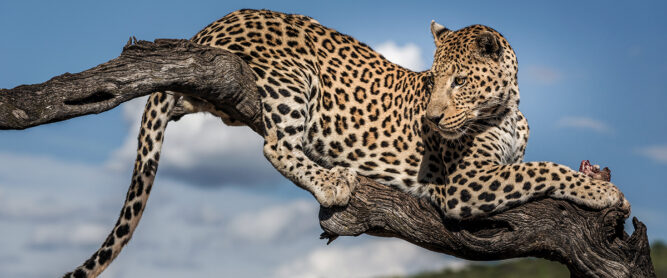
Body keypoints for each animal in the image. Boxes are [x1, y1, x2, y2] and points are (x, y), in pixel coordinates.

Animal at [61, 9, 628, 278]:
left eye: (460, 81)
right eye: (435, 80)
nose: (433, 116)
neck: (506, 110)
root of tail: (206, 30)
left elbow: (535, 165)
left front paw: (597, 179)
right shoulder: (464, 185)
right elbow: (546, 169)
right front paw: (605, 194)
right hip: (293, 75)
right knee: (275, 145)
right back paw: (333, 182)